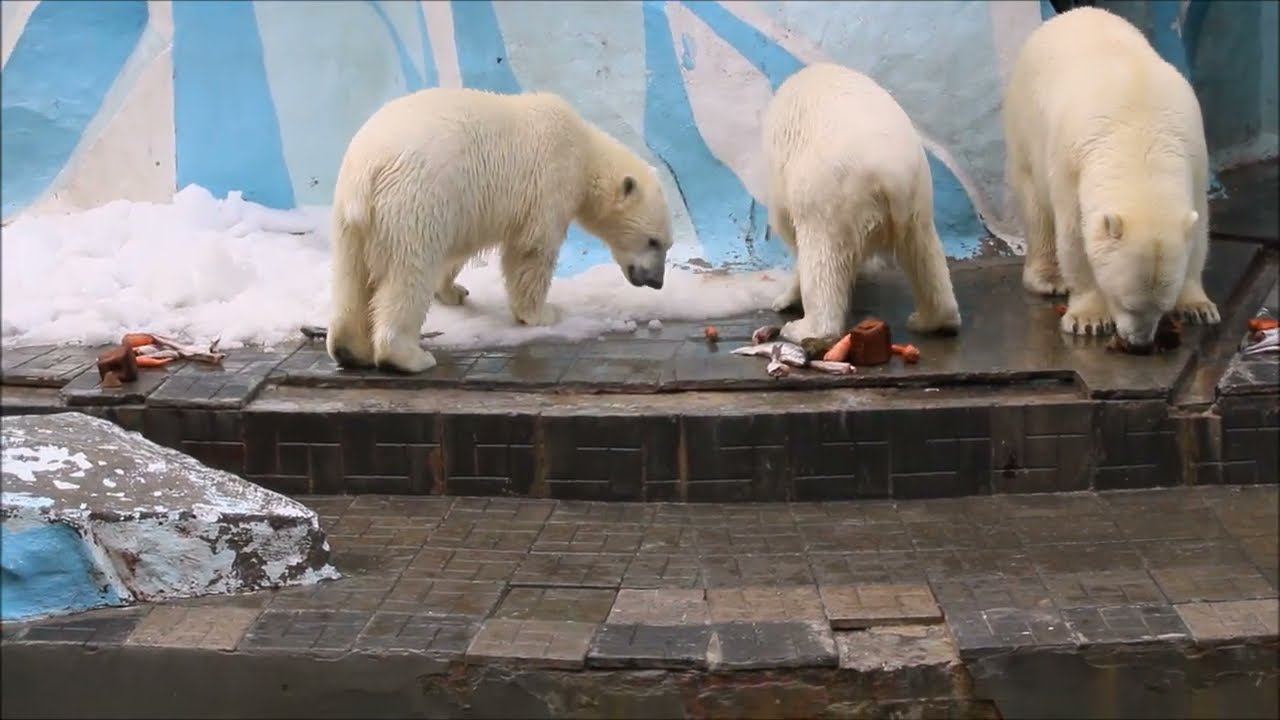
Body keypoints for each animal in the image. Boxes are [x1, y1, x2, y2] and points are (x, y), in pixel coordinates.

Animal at [325, 87, 675, 371]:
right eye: (653, 241)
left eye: (666, 244)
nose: (657, 282)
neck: (584, 151)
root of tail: (369, 170)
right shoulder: (549, 182)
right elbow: (531, 252)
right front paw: (542, 314)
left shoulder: (463, 207)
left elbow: (458, 248)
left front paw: (454, 291)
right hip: (414, 200)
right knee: (408, 274)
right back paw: (408, 356)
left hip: (350, 217)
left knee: (350, 275)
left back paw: (348, 349)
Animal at [757, 61, 962, 340]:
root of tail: (890, 173)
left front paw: (783, 300)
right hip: (917, 194)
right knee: (923, 251)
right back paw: (932, 320)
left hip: (831, 194)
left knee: (820, 255)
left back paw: (803, 330)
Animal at [998, 6, 1218, 348]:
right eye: (1126, 302)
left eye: (1162, 306)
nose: (1139, 342)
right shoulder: (1071, 161)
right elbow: (1075, 237)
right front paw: (1088, 319)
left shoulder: (1194, 154)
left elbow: (1198, 233)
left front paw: (1197, 306)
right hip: (1024, 125)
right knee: (1034, 206)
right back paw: (1048, 279)